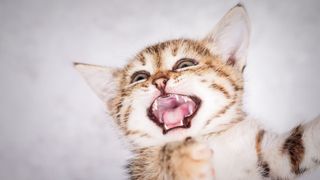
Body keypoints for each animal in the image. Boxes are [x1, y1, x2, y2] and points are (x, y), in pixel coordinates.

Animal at [75, 3, 320, 179]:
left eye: (184, 64)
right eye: (140, 77)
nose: (160, 80)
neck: (207, 140)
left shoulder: (270, 154)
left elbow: (301, 144)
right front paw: (180, 160)